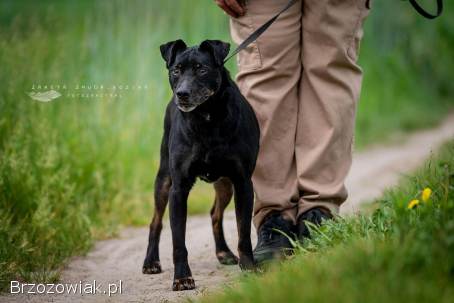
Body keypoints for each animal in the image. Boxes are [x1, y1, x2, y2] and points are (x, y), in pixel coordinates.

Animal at [144, 39, 260, 290]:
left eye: (202, 70)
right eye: (176, 70)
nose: (182, 94)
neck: (207, 118)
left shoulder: (243, 182)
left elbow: (244, 231)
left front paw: (249, 267)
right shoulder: (179, 189)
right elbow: (178, 241)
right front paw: (182, 278)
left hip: (225, 185)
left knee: (215, 213)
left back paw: (224, 252)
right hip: (163, 180)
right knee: (155, 221)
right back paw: (150, 262)